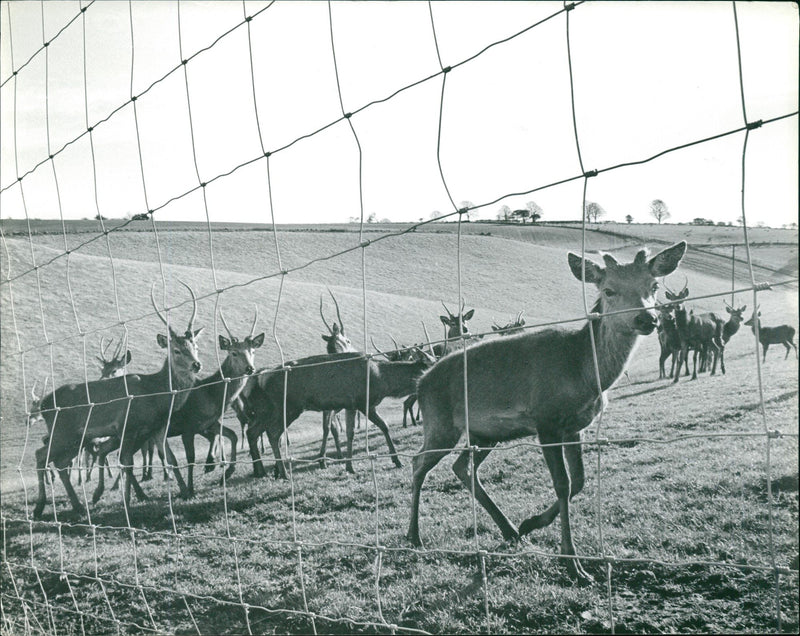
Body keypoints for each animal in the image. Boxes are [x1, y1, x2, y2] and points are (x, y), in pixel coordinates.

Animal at [33, 280, 203, 520]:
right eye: (177, 350)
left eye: (195, 346)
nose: (197, 364)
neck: (155, 394)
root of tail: (44, 404)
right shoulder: (127, 426)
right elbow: (126, 463)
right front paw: (128, 503)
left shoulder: (157, 428)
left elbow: (170, 459)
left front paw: (186, 492)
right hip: (61, 432)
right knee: (41, 456)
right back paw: (40, 507)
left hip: (76, 438)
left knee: (61, 462)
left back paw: (78, 506)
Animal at [167, 306, 264, 494]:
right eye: (234, 352)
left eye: (253, 351)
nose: (250, 368)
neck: (209, 394)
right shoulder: (188, 426)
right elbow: (191, 457)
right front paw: (193, 486)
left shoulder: (208, 423)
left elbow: (231, 435)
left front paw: (225, 472)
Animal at [406, 242, 688, 580]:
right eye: (608, 290)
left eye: (654, 286)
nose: (647, 319)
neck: (584, 374)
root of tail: (421, 381)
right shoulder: (546, 420)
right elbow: (563, 484)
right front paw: (573, 563)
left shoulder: (575, 426)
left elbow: (579, 481)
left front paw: (531, 523)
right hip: (440, 423)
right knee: (418, 463)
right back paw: (414, 536)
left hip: (485, 434)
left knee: (461, 467)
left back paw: (510, 529)